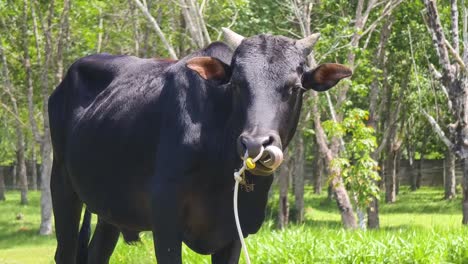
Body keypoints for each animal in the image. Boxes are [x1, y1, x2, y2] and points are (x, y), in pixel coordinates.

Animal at [50, 27, 352, 262]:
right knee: (65, 252)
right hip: (62, 184)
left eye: (295, 87)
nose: (256, 144)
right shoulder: (166, 225)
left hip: (109, 211)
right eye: (237, 84)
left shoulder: (236, 232)